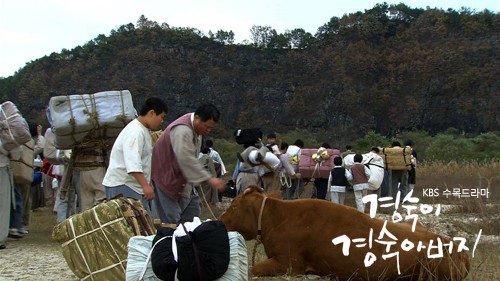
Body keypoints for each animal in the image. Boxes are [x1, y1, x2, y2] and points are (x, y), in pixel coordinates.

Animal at [219, 185, 468, 278]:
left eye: (234, 206)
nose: (220, 220)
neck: (277, 218)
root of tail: (458, 248)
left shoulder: (289, 262)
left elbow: (254, 269)